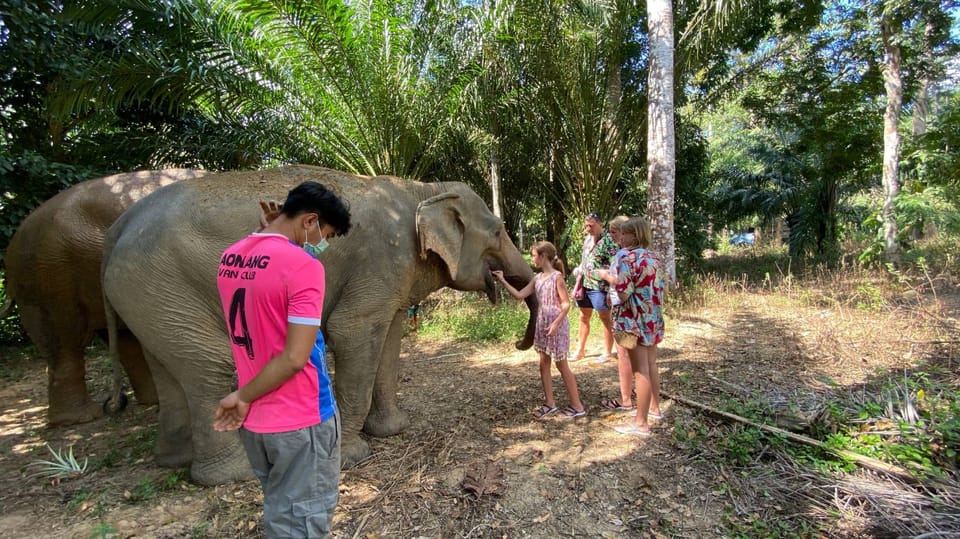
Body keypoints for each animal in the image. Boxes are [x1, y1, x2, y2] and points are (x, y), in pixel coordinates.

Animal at [103, 165, 540, 486]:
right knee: (210, 365)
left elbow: (389, 342)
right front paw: (352, 456)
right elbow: (353, 332)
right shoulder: (380, 262)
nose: (521, 344)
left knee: (167, 368)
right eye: (498, 231)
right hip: (160, 284)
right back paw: (231, 475)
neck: (421, 190)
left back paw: (173, 459)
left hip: (152, 297)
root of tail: (116, 228)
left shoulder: (392, 276)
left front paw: (393, 430)